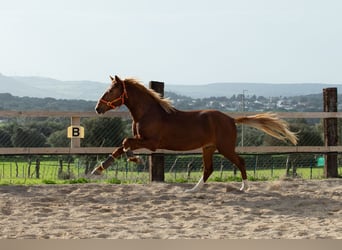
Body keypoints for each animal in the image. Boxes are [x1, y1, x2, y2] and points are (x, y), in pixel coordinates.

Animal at [92, 75, 298, 192]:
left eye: (111, 91)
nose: (97, 108)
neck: (148, 112)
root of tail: (231, 119)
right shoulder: (143, 140)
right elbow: (120, 146)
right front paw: (99, 169)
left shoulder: (151, 143)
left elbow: (125, 142)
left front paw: (135, 159)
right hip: (208, 148)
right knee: (209, 169)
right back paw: (193, 190)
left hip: (225, 148)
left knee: (240, 162)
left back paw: (244, 187)